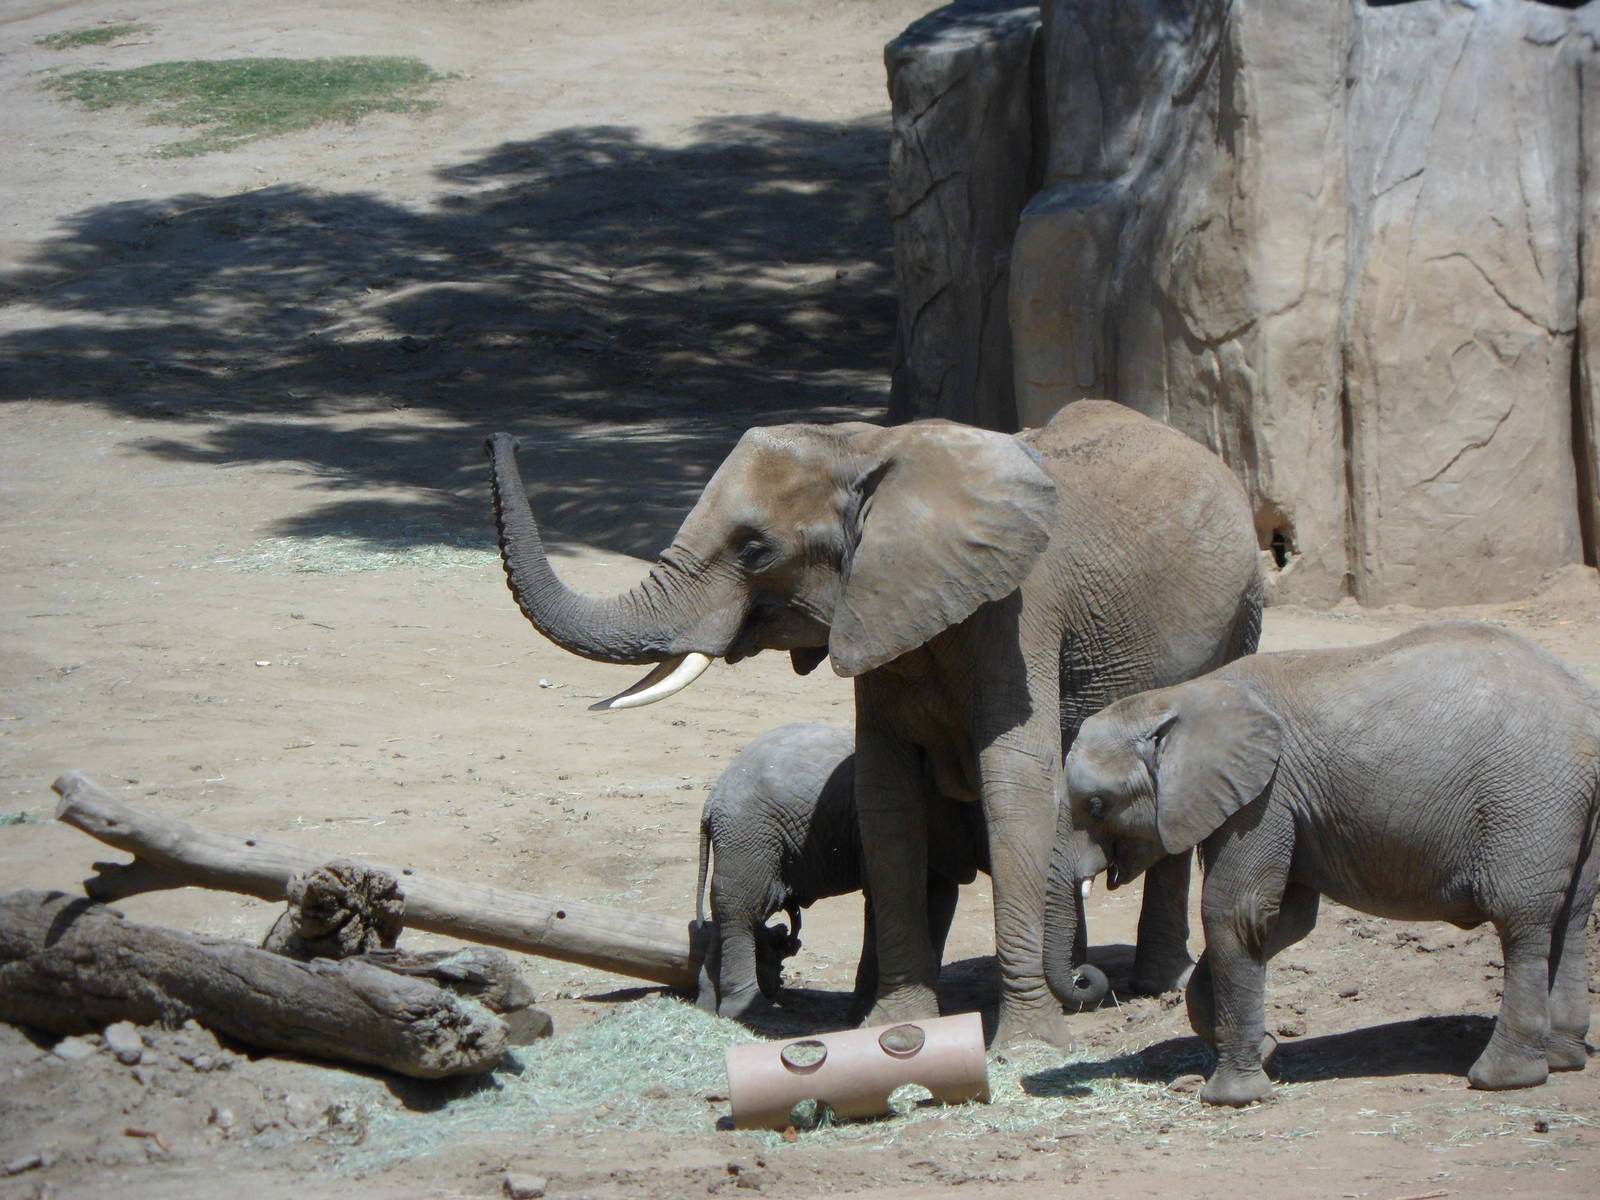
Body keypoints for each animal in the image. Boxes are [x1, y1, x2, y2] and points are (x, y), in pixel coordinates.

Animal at [694, 722, 986, 1020]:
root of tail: (711, 802)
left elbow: (938, 900)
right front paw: (863, 1015)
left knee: (726, 910)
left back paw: (706, 1006)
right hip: (752, 836)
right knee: (747, 909)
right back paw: (749, 1010)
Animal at [1058, 620, 1600, 1106]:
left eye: (1098, 805)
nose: (1087, 976)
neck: (1180, 697)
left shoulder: (1266, 795)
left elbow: (1237, 912)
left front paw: (1232, 1097)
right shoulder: (1276, 802)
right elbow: (1284, 919)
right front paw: (1264, 1050)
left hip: (1529, 801)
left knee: (1521, 921)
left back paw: (1503, 1078)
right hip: (1571, 805)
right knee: (1572, 917)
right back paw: (1562, 1060)